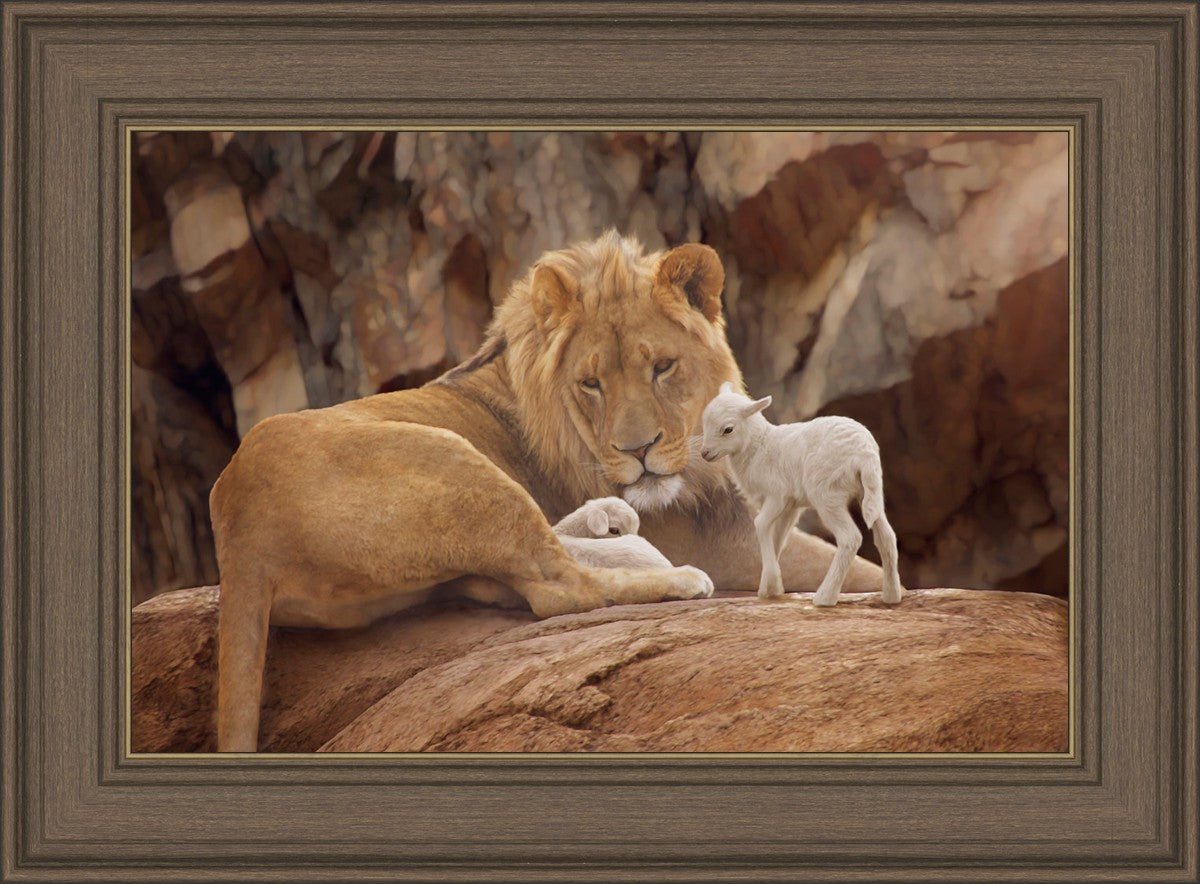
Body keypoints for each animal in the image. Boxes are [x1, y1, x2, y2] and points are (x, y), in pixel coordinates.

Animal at [699, 382, 903, 607]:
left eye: (728, 429)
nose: (704, 453)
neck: (759, 446)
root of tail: (864, 453)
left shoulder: (777, 495)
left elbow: (760, 525)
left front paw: (771, 584)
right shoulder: (791, 506)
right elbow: (778, 537)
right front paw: (770, 587)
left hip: (827, 494)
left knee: (850, 538)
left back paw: (825, 597)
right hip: (871, 492)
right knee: (887, 537)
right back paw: (891, 596)